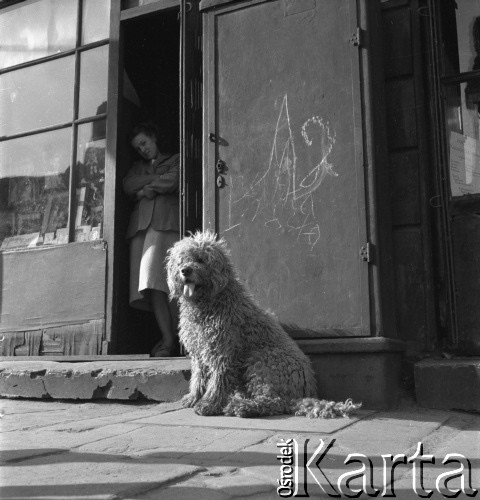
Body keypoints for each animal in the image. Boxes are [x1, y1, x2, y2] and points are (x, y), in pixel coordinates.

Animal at [167, 230, 358, 418]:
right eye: (181, 260)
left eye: (201, 259)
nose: (185, 270)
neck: (210, 302)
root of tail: (302, 394)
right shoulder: (199, 352)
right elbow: (198, 377)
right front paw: (193, 397)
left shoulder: (224, 352)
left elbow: (218, 380)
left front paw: (209, 404)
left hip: (261, 360)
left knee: (274, 402)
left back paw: (242, 407)